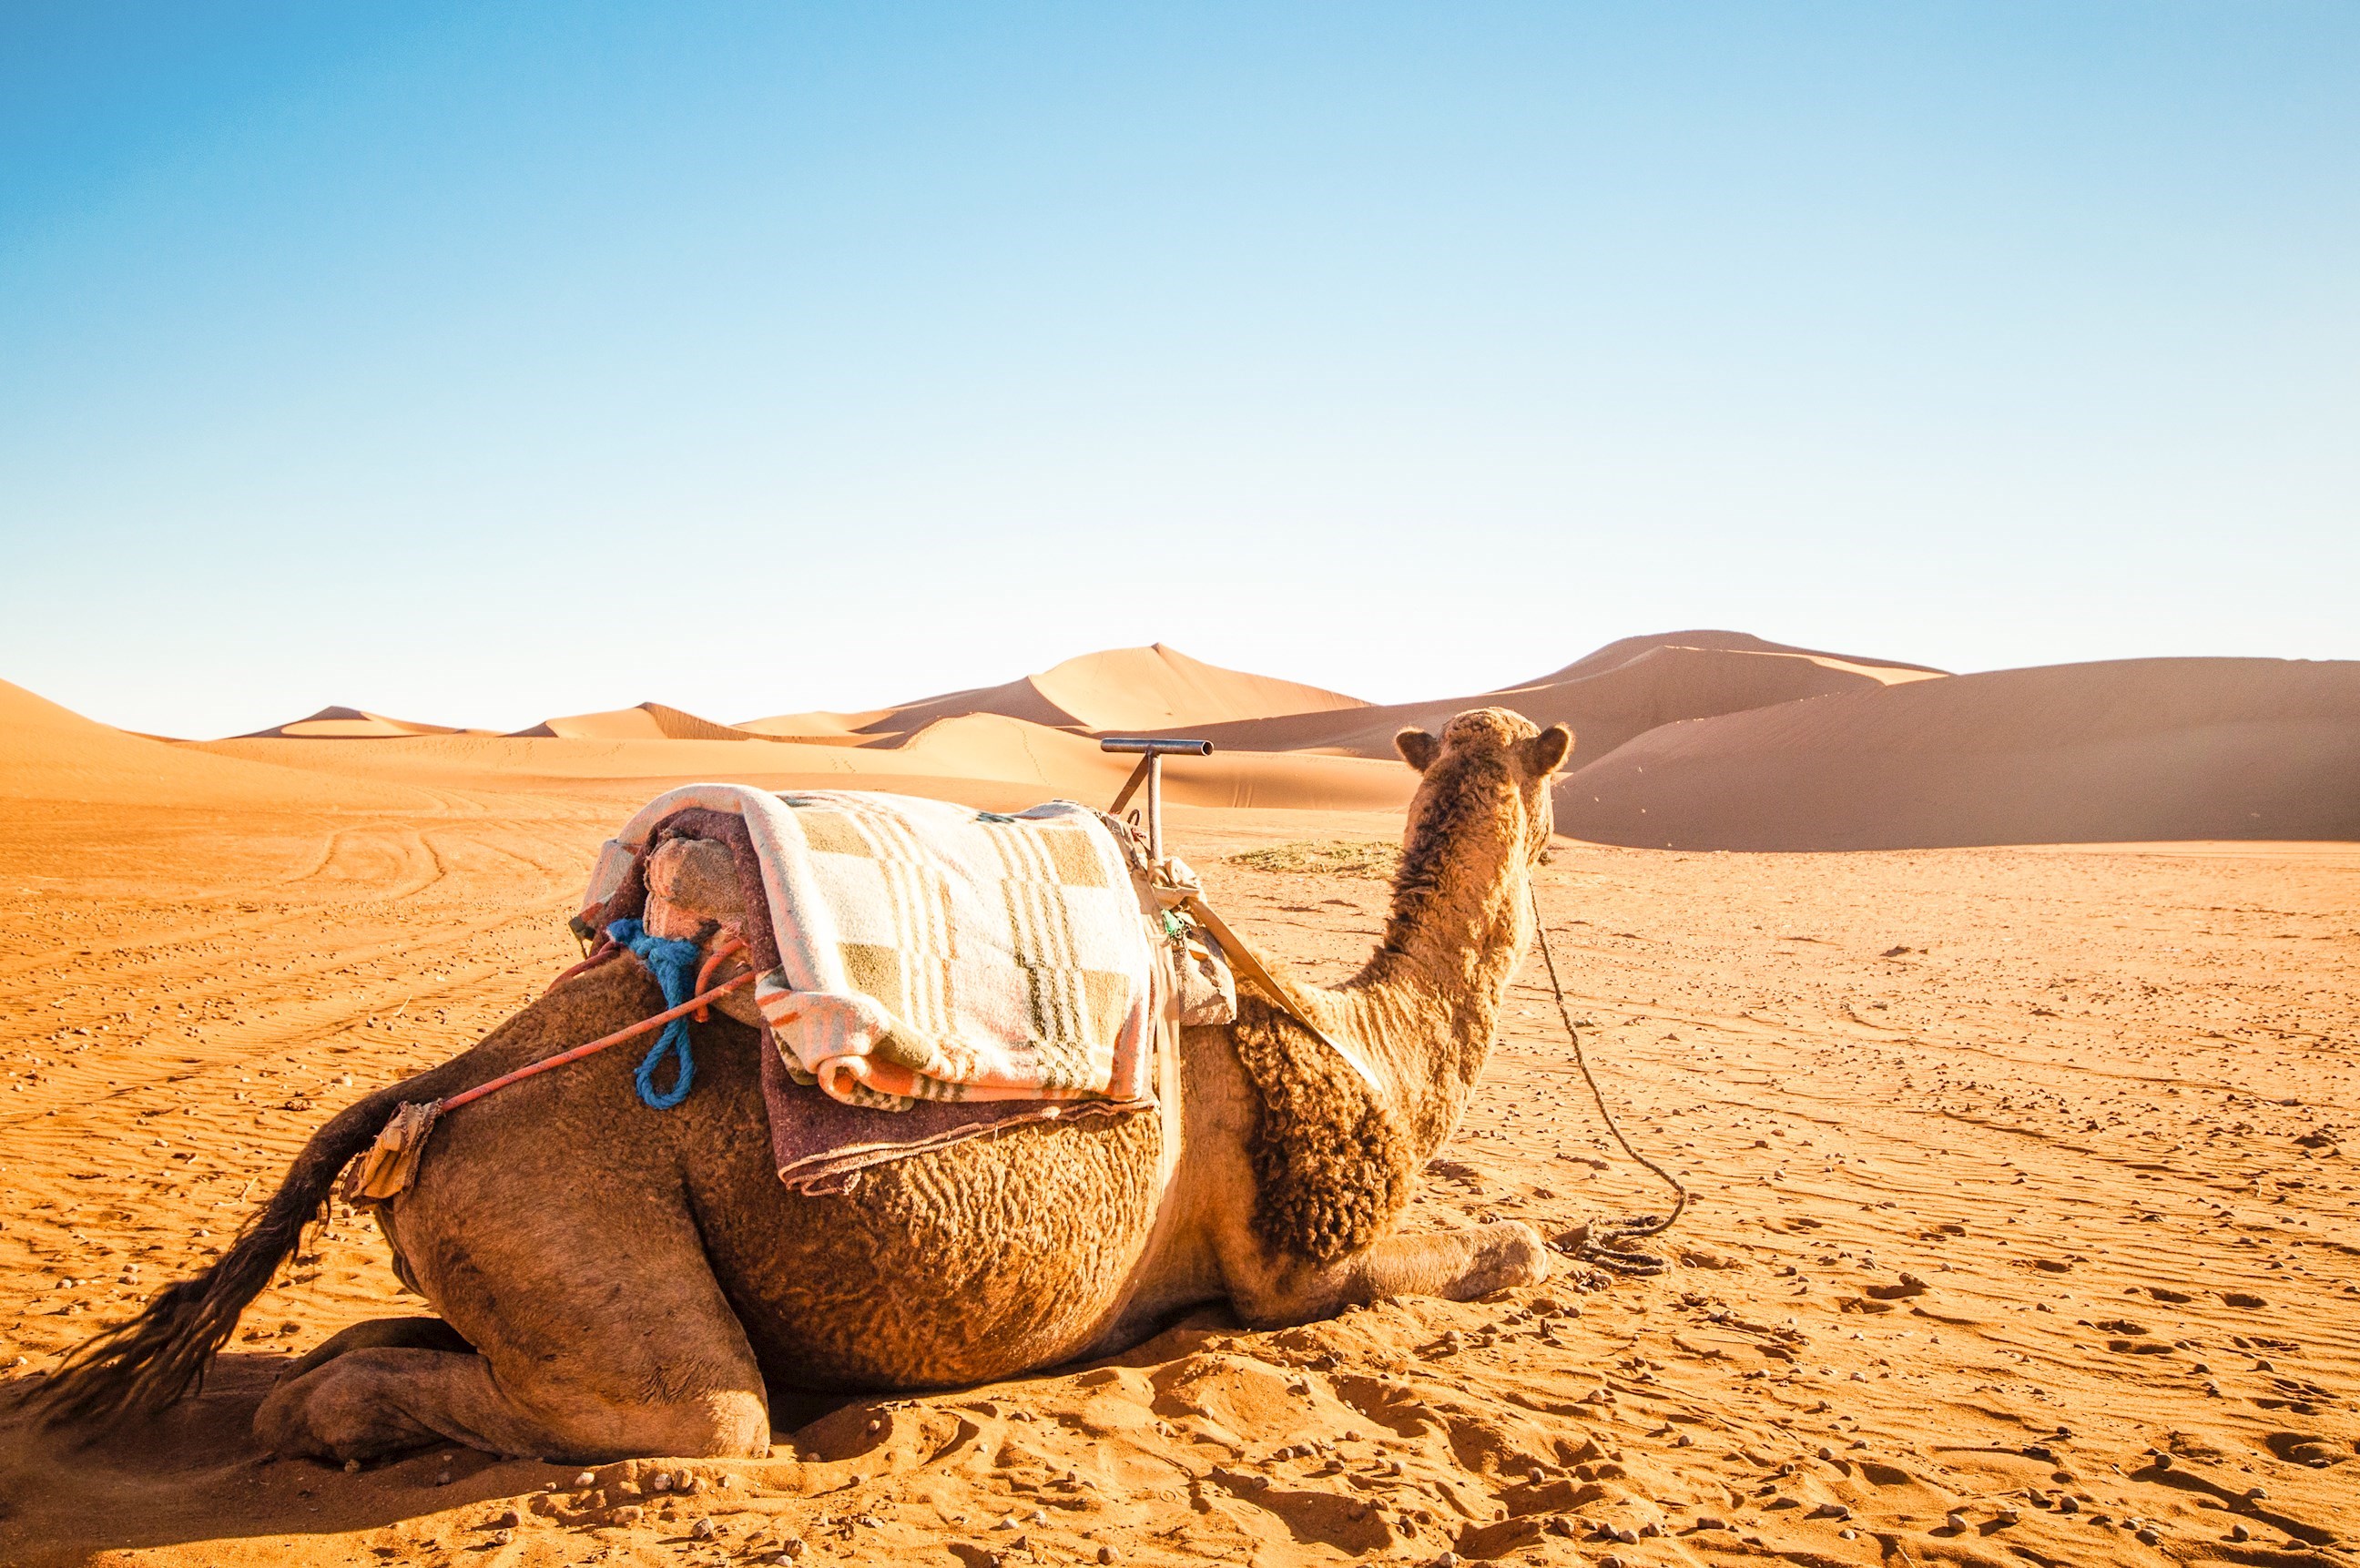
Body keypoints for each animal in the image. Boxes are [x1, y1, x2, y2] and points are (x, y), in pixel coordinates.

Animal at [37, 708, 1574, 1463]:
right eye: (1552, 772)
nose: (1559, 828)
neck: (1375, 1039)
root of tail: (431, 1092)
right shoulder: (1297, 1269)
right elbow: (1503, 1250)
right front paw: (1540, 1248)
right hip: (569, 1227)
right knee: (695, 1414)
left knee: (349, 1347)